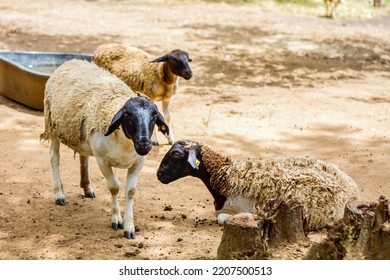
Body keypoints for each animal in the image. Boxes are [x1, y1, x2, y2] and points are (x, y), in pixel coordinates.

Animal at [39, 59, 171, 238]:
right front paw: (117, 219)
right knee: (54, 157)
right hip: (53, 126)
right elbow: (114, 187)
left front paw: (129, 226)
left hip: (82, 136)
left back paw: (87, 188)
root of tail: (70, 61)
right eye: (127, 115)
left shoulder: (138, 163)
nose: (144, 144)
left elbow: (130, 191)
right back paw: (59, 193)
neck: (125, 143)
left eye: (155, 115)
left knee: (83, 158)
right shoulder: (102, 161)